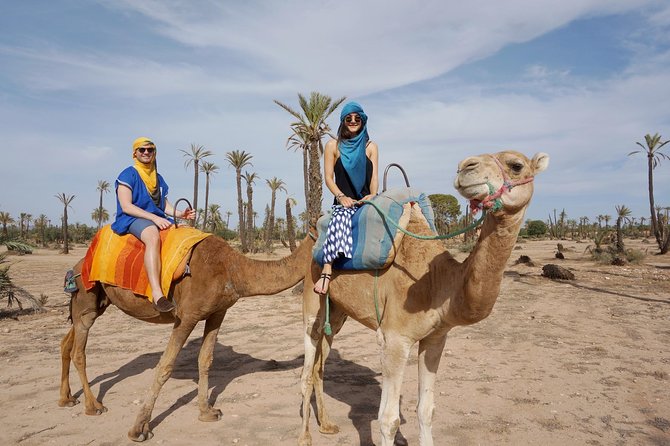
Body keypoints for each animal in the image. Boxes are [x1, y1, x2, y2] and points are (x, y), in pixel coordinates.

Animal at [58, 231, 314, 442]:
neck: (233, 269)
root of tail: (78, 264)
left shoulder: (218, 312)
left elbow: (205, 360)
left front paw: (208, 412)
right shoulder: (187, 315)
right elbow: (165, 365)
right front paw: (139, 428)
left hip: (99, 302)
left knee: (66, 342)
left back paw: (67, 399)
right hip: (86, 297)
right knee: (79, 349)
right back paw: (93, 406)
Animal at [298, 150, 549, 446]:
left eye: (516, 166)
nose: (466, 167)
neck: (437, 283)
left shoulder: (436, 338)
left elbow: (426, 409)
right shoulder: (395, 339)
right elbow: (388, 420)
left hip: (337, 312)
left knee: (320, 364)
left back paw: (326, 425)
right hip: (312, 296)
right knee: (307, 365)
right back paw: (304, 437)